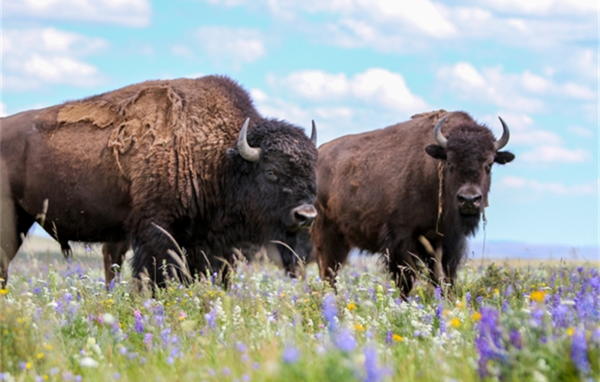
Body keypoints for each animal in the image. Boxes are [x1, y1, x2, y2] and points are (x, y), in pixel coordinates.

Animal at [0, 75, 318, 286]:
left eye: (313, 172)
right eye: (271, 171)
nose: (306, 216)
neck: (219, 158)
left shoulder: (210, 244)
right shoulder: (157, 232)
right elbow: (156, 276)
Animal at [312, 109, 512, 296]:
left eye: (489, 164)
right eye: (450, 162)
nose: (469, 200)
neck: (432, 171)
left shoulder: (449, 242)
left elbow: (444, 278)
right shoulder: (401, 238)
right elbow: (406, 280)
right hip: (327, 234)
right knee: (328, 271)